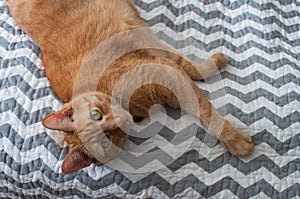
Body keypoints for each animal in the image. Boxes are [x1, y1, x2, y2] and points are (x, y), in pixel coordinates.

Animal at [7, 0, 253, 173]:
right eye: (106, 140)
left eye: (96, 114)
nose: (121, 120)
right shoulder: (166, 71)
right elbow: (192, 78)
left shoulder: (166, 70)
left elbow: (203, 103)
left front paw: (234, 139)